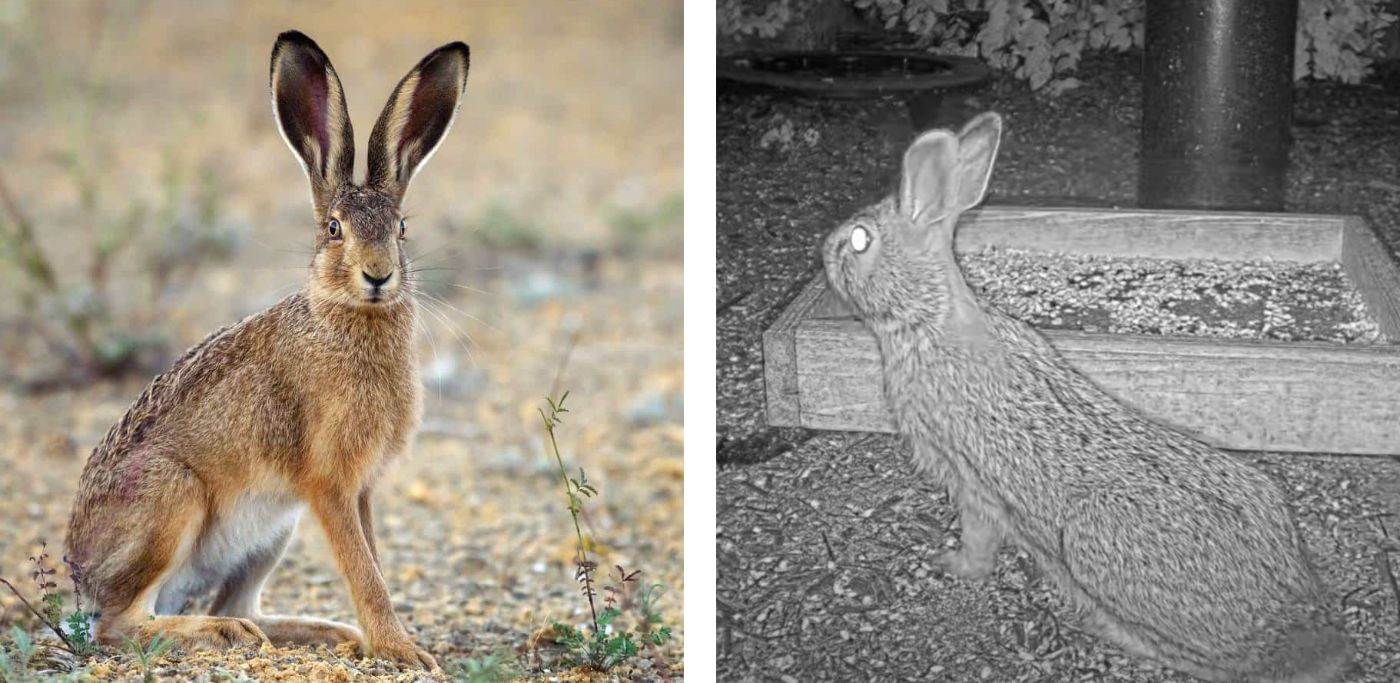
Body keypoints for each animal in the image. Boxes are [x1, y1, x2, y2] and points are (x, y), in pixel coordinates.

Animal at [63, 31, 471, 670]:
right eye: (334, 229)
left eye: (401, 229)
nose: (378, 275)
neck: (346, 320)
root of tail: (81, 577)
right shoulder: (330, 485)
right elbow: (366, 573)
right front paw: (402, 651)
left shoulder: (360, 489)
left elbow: (374, 563)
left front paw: (386, 642)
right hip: (171, 501)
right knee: (121, 624)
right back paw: (224, 635)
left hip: (274, 529)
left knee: (235, 603)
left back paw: (317, 633)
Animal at [821, 112, 1352, 683]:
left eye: (859, 240)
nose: (823, 250)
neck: (928, 320)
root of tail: (1304, 631)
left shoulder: (969, 481)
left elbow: (979, 539)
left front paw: (953, 566)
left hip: (1089, 541)